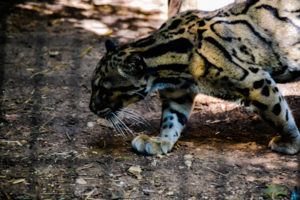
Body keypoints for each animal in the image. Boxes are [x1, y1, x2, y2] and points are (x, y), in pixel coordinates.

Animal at [89, 0, 300, 155]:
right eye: (92, 85)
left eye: (104, 89)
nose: (91, 108)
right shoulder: (177, 93)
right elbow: (171, 119)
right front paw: (161, 140)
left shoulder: (255, 81)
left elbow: (279, 113)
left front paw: (290, 142)